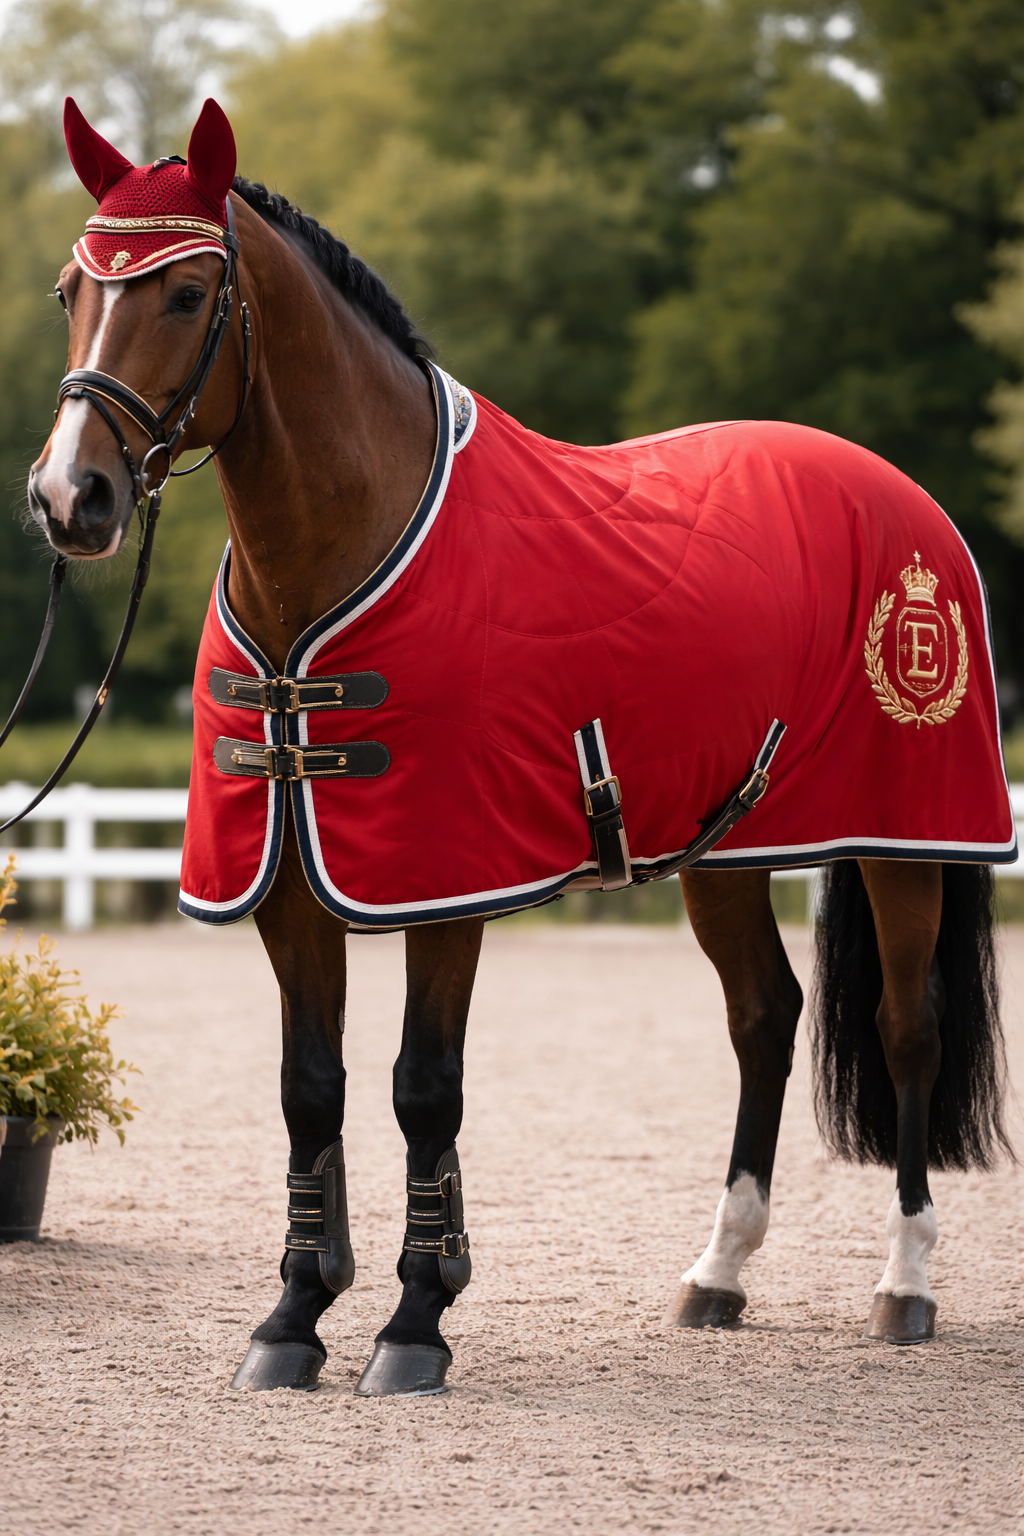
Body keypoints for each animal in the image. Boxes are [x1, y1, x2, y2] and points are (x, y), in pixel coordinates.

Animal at [26, 97, 1014, 1397]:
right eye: (68, 291)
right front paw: (292, 1319)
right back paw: (719, 1273)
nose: (68, 499)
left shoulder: (444, 886)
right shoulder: (290, 883)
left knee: (906, 1034)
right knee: (765, 1018)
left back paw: (904, 1284)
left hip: (903, 841)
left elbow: (421, 1088)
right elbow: (310, 1090)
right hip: (723, 851)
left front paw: (414, 1323)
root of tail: (905, 498)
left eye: (188, 293)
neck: (336, 558)